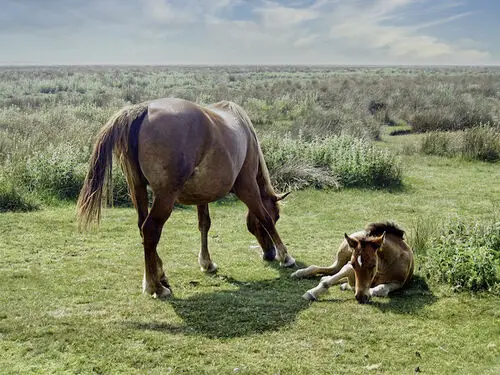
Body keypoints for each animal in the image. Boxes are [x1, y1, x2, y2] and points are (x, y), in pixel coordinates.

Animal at [76, 97, 294, 300]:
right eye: (277, 216)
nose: (269, 254)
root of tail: (143, 109)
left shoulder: (202, 195)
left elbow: (204, 224)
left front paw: (206, 262)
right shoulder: (247, 186)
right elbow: (264, 216)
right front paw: (286, 256)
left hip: (137, 189)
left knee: (142, 228)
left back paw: (158, 275)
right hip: (165, 196)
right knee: (150, 229)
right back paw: (155, 287)